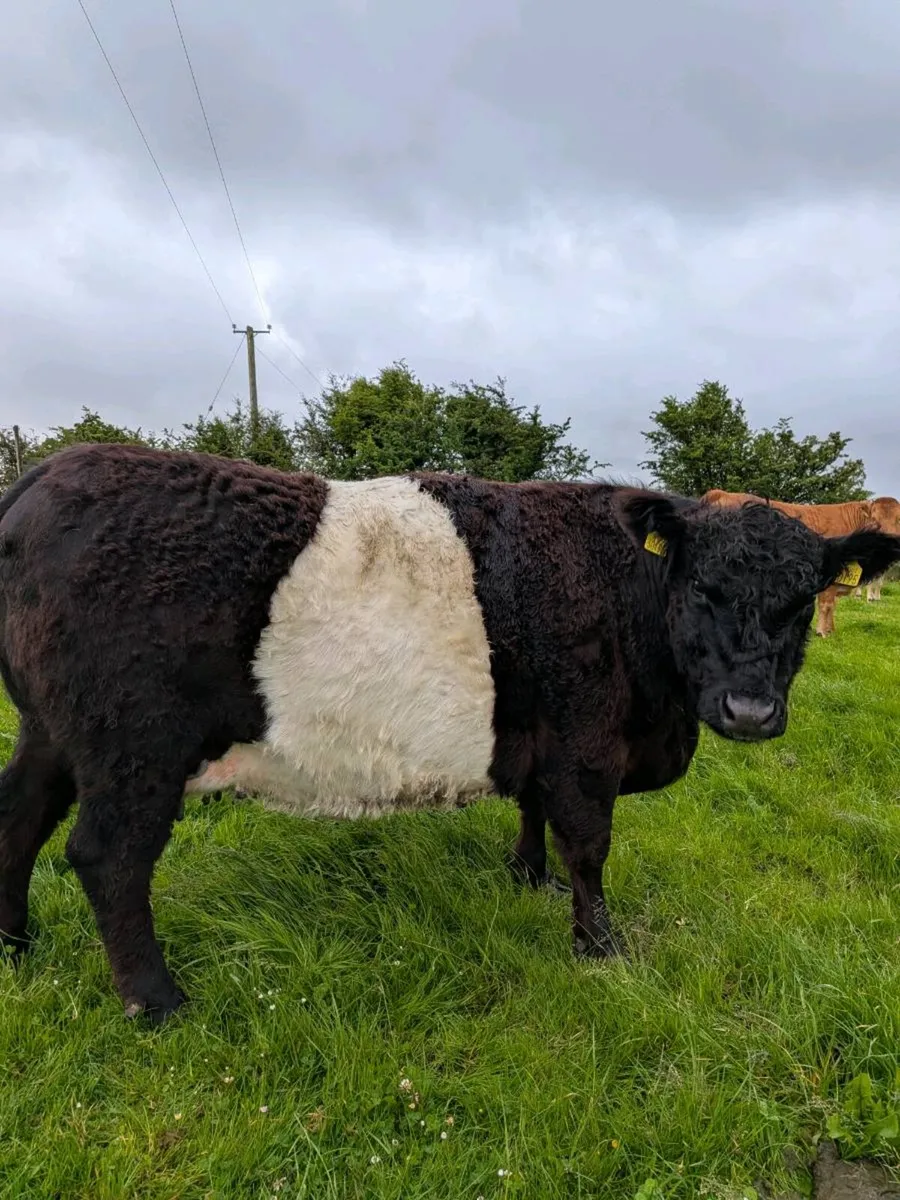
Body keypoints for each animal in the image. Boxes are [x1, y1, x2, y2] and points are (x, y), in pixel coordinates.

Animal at [703, 491, 900, 636]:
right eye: (875, 520)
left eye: (898, 520)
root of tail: (719, 493)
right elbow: (826, 604)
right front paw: (822, 632)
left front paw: (831, 630)